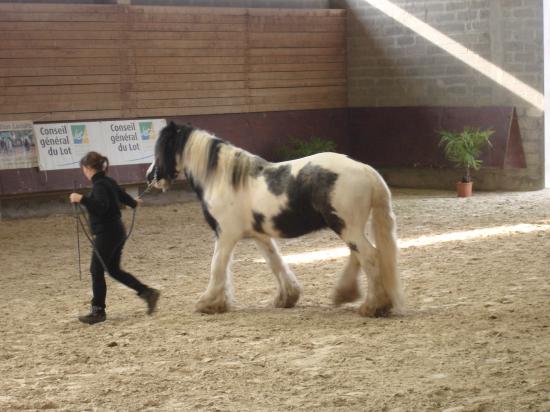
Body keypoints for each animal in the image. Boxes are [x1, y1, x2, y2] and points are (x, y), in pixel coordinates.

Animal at [147, 120, 406, 318]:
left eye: (160, 148)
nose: (151, 176)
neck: (223, 179)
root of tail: (364, 169)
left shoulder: (225, 235)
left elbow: (217, 266)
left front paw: (209, 302)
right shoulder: (260, 235)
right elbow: (275, 262)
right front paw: (287, 297)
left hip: (346, 226)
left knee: (369, 256)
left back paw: (373, 306)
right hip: (348, 226)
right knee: (357, 255)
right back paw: (346, 293)